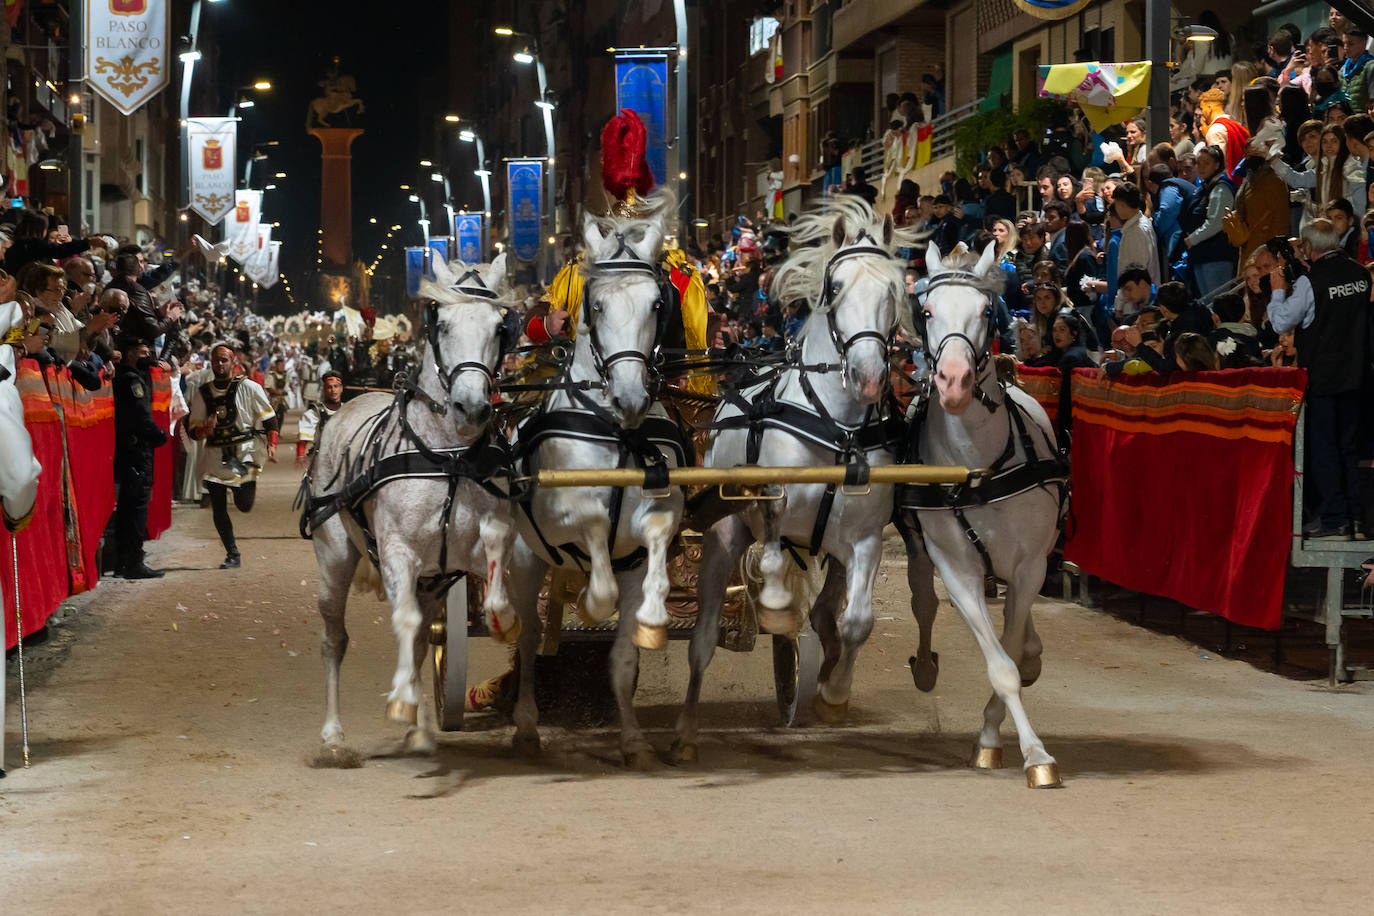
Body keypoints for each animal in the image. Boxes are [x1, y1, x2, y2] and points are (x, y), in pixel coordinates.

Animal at [305, 256, 516, 752]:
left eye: (500, 328)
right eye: (442, 324)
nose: (472, 408)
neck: (447, 457)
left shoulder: (466, 554)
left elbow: (498, 550)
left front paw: (501, 616)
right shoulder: (398, 553)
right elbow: (402, 621)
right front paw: (401, 698)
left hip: (433, 581)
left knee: (423, 637)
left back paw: (419, 732)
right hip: (335, 557)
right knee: (335, 638)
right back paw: (333, 734)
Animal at [508, 199, 684, 769]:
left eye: (657, 302)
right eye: (598, 305)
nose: (630, 397)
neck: (617, 432)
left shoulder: (648, 535)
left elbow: (626, 652)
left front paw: (634, 741)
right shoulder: (561, 517)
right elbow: (589, 530)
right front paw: (591, 604)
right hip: (524, 557)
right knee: (528, 637)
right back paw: (526, 728)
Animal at [667, 197, 912, 763]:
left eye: (894, 288)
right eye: (835, 286)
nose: (869, 376)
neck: (836, 427)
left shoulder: (865, 538)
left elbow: (857, 622)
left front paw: (834, 694)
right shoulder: (769, 505)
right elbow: (774, 559)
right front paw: (778, 609)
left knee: (825, 611)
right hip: (723, 533)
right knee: (703, 639)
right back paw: (685, 730)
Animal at [901, 243, 1071, 791]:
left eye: (985, 312)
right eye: (927, 311)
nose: (953, 382)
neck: (975, 466)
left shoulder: (1028, 565)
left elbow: (1012, 652)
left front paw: (1013, 742)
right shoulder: (958, 571)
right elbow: (1000, 666)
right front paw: (1020, 750)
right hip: (919, 548)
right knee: (923, 601)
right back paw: (926, 666)